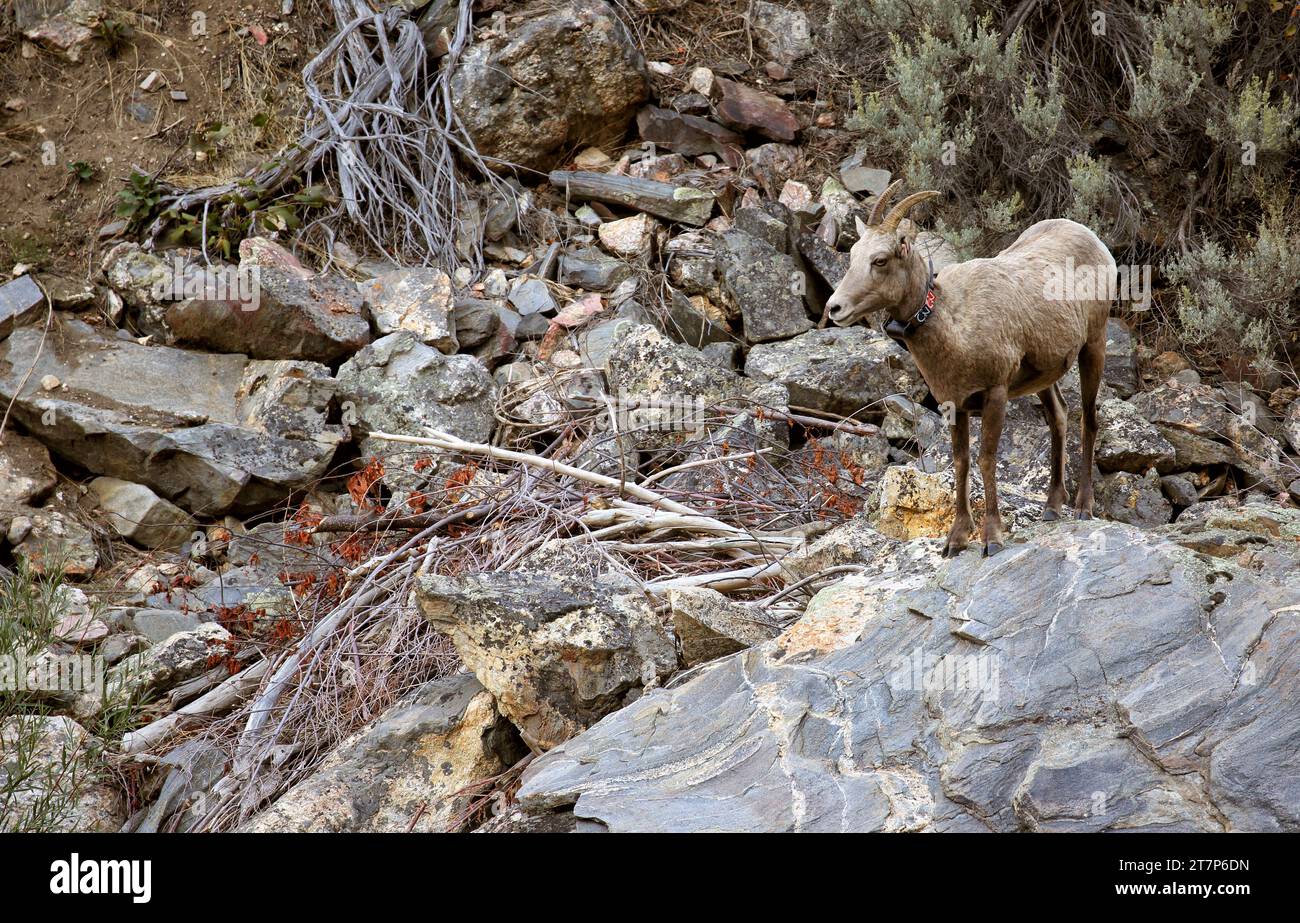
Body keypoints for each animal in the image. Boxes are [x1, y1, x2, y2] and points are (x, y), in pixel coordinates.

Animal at [826, 182, 1112, 556]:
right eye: (852, 256)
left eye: (880, 260)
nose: (834, 308)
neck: (955, 326)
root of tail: (1092, 238)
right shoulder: (953, 404)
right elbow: (961, 462)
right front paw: (955, 541)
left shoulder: (995, 393)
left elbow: (986, 460)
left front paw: (992, 538)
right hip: (1044, 376)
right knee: (1059, 416)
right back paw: (1052, 507)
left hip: (1094, 344)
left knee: (1088, 420)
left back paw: (1083, 507)